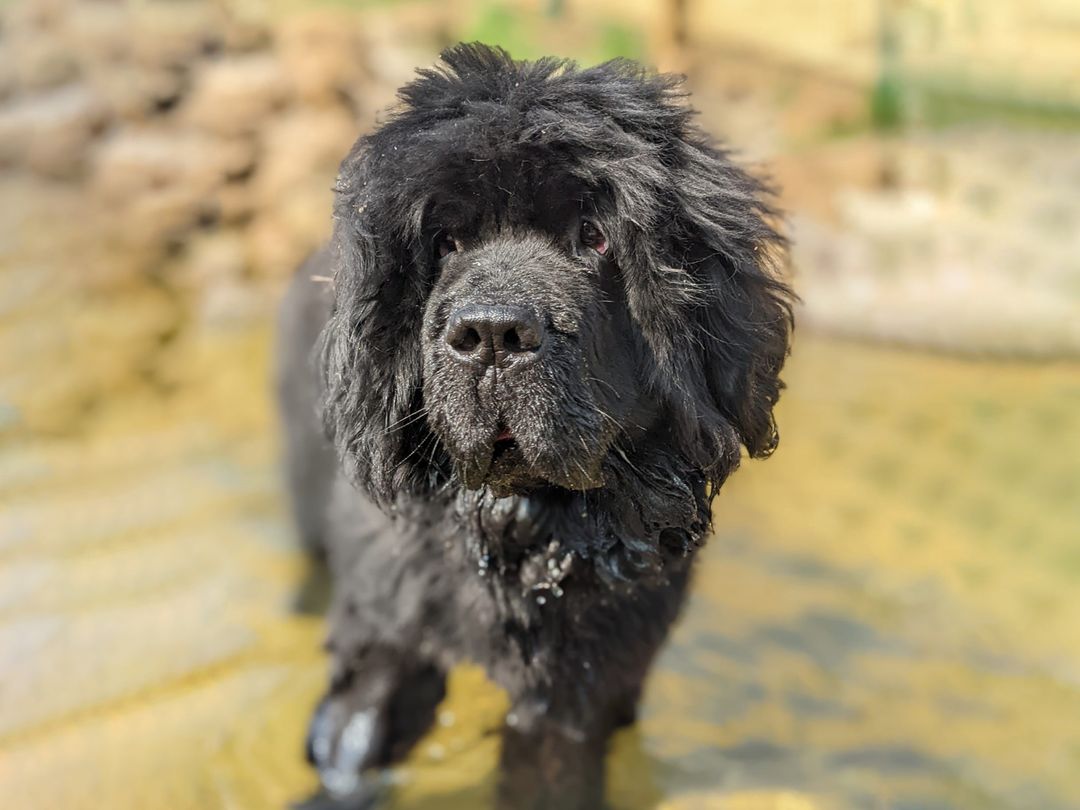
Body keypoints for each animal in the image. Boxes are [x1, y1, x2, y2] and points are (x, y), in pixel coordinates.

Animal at [274, 42, 790, 810]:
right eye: (445, 241)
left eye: (595, 236)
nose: (492, 333)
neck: (522, 530)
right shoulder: (384, 632)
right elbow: (354, 737)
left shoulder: (578, 690)